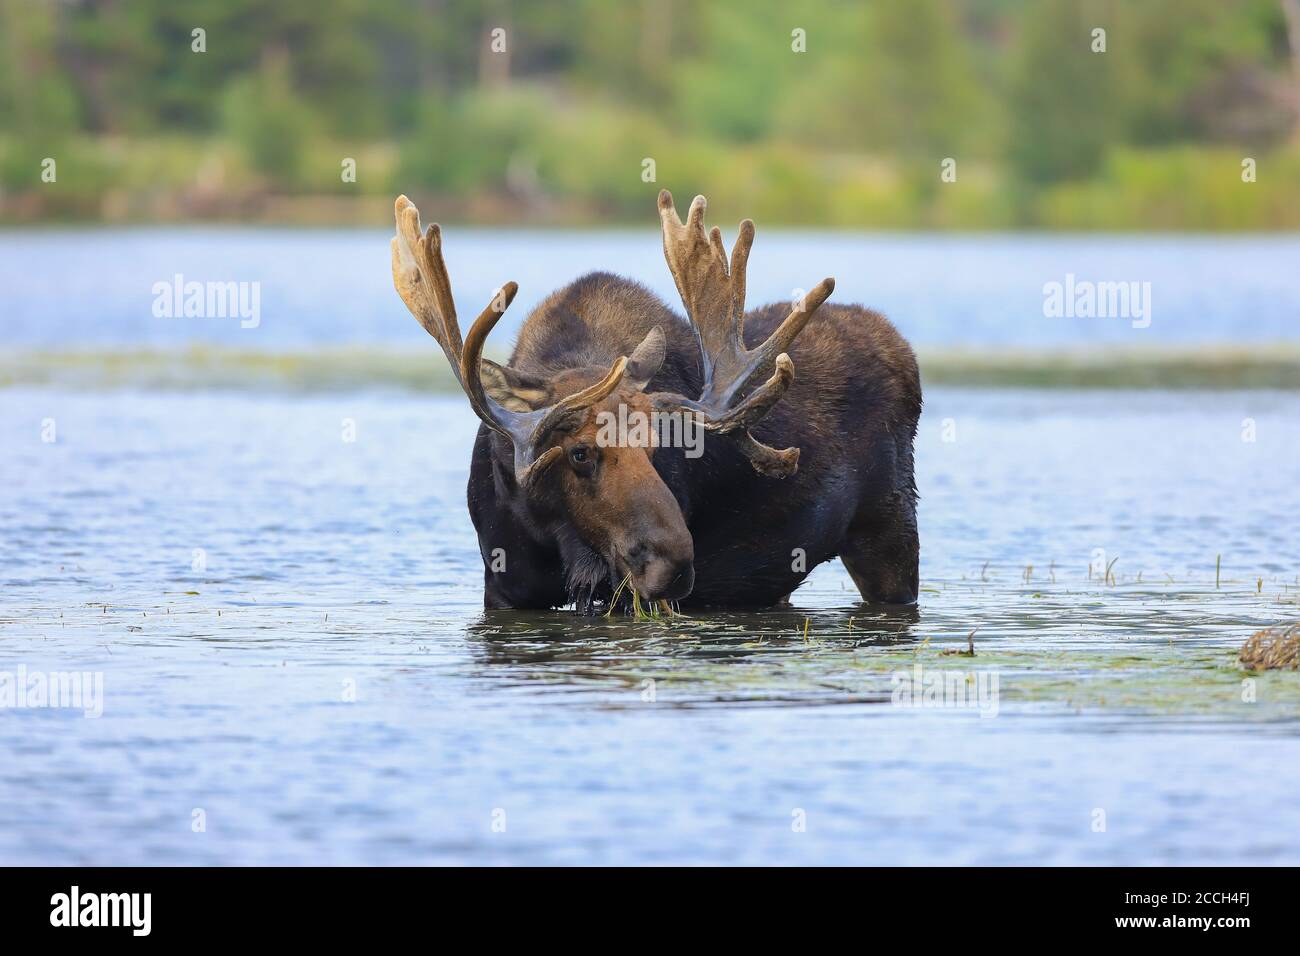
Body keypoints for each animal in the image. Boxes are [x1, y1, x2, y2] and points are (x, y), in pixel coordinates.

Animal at [390, 193, 920, 608]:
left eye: (657, 448)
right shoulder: (502, 587)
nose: (674, 564)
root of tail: (902, 346)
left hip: (892, 532)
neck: (556, 534)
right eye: (579, 453)